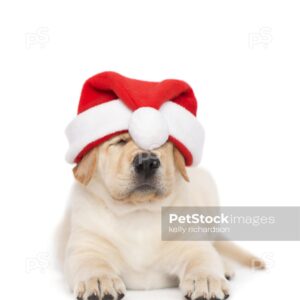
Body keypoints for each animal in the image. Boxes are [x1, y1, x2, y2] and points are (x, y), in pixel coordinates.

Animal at [57, 133, 264, 300]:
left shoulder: (190, 243)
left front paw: (205, 278)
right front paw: (99, 279)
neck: (138, 211)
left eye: (160, 142)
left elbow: (202, 258)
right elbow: (91, 262)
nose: (147, 162)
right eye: (120, 141)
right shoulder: (86, 246)